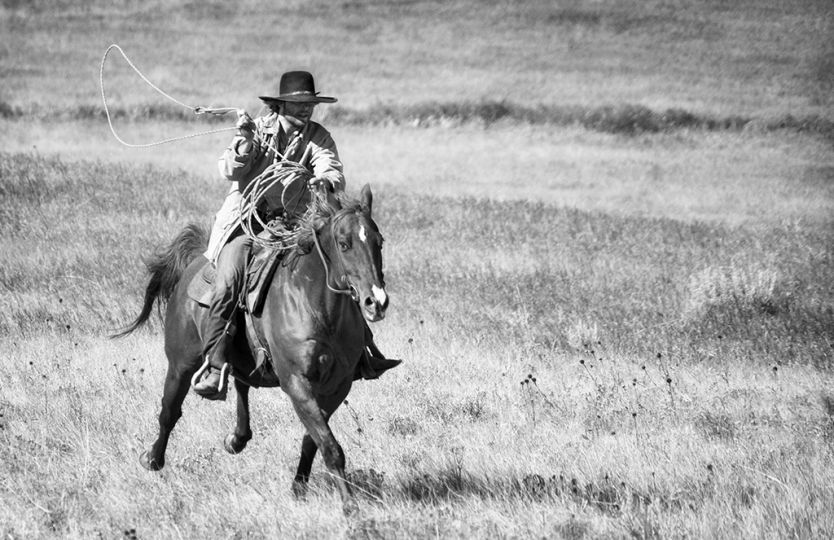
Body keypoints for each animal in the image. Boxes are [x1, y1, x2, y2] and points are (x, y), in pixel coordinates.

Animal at [116, 185, 386, 510]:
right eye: (344, 244)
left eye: (379, 242)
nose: (376, 301)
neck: (318, 308)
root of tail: (196, 264)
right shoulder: (296, 382)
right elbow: (329, 445)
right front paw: (350, 506)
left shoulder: (338, 386)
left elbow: (315, 439)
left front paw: (299, 487)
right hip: (181, 363)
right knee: (169, 411)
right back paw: (153, 458)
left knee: (239, 382)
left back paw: (236, 438)